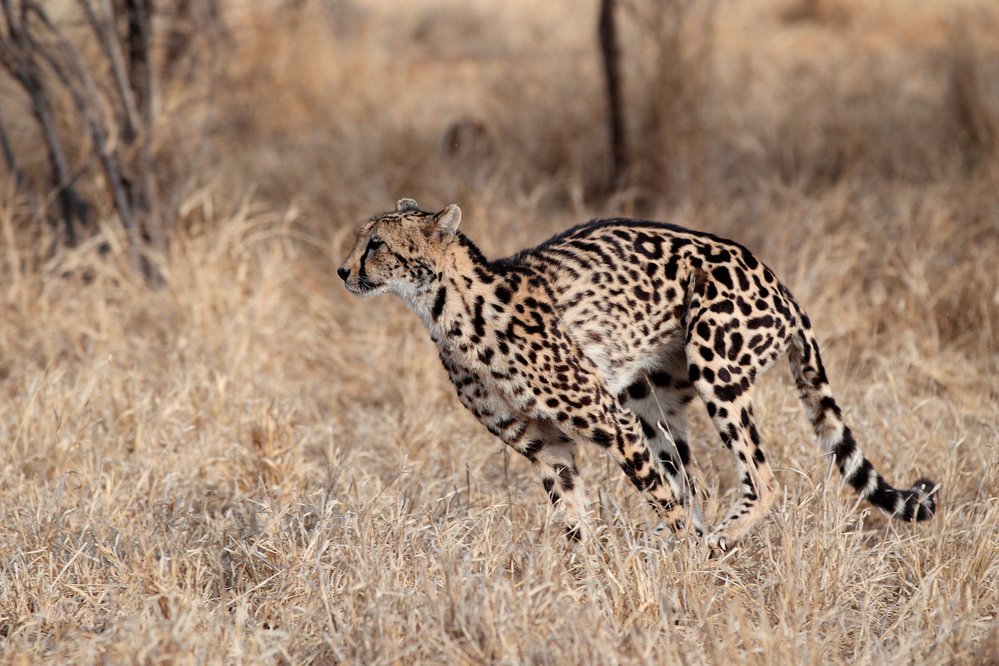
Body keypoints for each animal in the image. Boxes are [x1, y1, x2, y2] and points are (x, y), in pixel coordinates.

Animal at [336, 198, 936, 548]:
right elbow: (575, 523)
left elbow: (662, 501)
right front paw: (584, 588)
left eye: (376, 244)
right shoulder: (548, 448)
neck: (449, 309)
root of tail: (778, 282)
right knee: (694, 481)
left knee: (758, 481)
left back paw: (711, 544)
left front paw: (686, 567)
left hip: (713, 365)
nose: (342, 271)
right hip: (654, 400)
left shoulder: (612, 420)